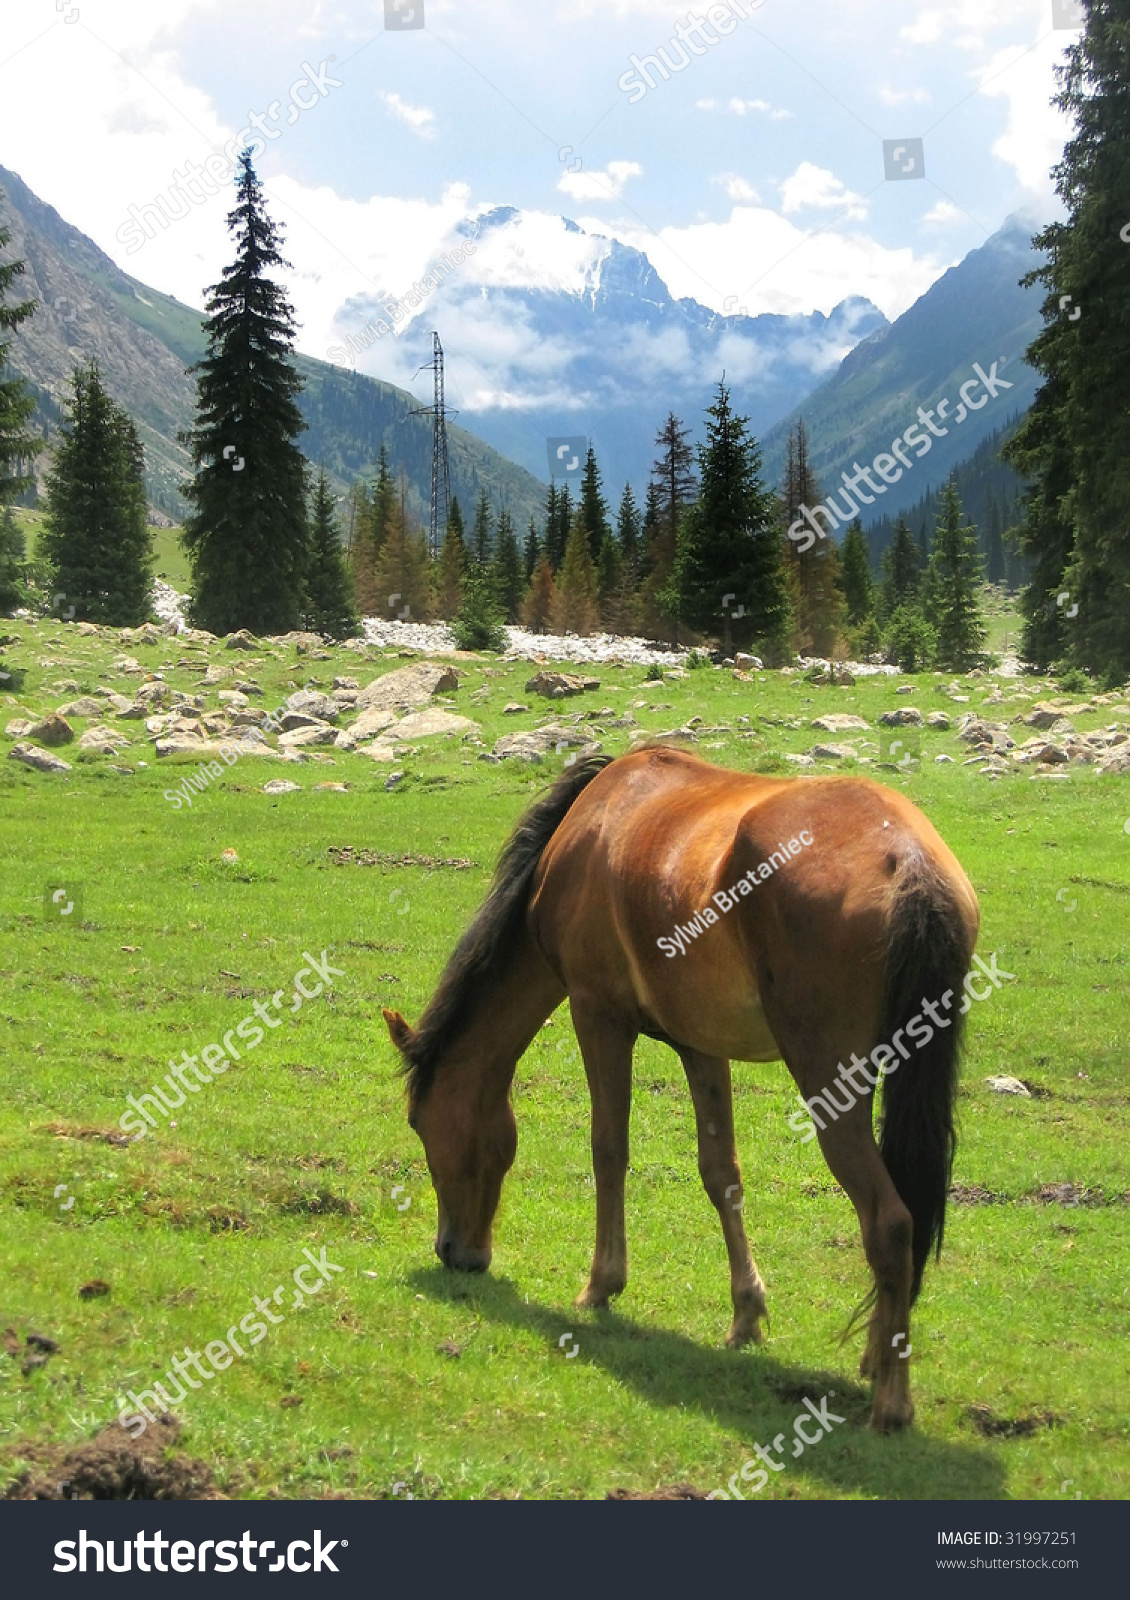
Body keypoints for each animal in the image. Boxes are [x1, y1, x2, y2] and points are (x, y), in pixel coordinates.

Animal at [382, 742, 973, 1433]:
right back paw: (879, 1358)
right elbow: (721, 1173)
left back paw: (891, 1402)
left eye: (420, 1124)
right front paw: (746, 1313)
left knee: (890, 1223)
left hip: (832, 1087)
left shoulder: (597, 1016)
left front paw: (601, 1284)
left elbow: (608, 1150)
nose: (454, 1250)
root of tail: (906, 861)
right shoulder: (701, 1046)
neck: (592, 826)